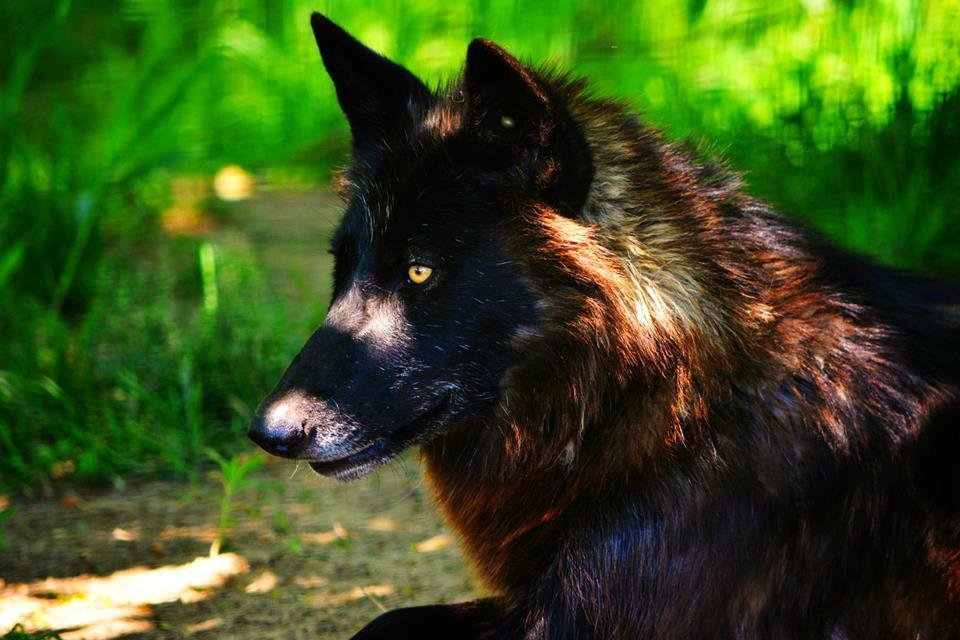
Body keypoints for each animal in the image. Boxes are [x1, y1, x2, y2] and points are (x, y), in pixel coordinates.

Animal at [248, 13, 960, 639]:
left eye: (419, 271)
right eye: (342, 268)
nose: (268, 432)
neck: (671, 399)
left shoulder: (588, 615)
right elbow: (384, 622)